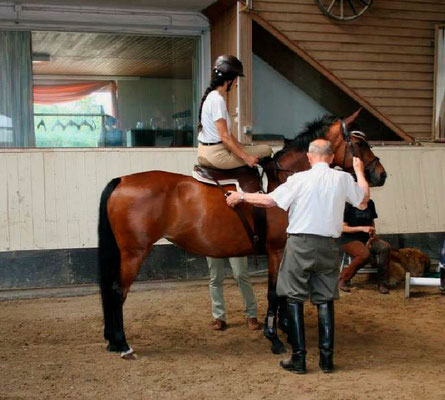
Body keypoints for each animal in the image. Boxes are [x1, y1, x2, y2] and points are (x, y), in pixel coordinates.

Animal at [97, 110, 386, 360]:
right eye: (359, 144)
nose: (381, 174)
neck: (283, 182)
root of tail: (122, 180)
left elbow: (282, 293)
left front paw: (285, 329)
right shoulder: (276, 250)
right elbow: (273, 293)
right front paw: (275, 338)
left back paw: (112, 340)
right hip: (134, 253)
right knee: (117, 291)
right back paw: (122, 344)